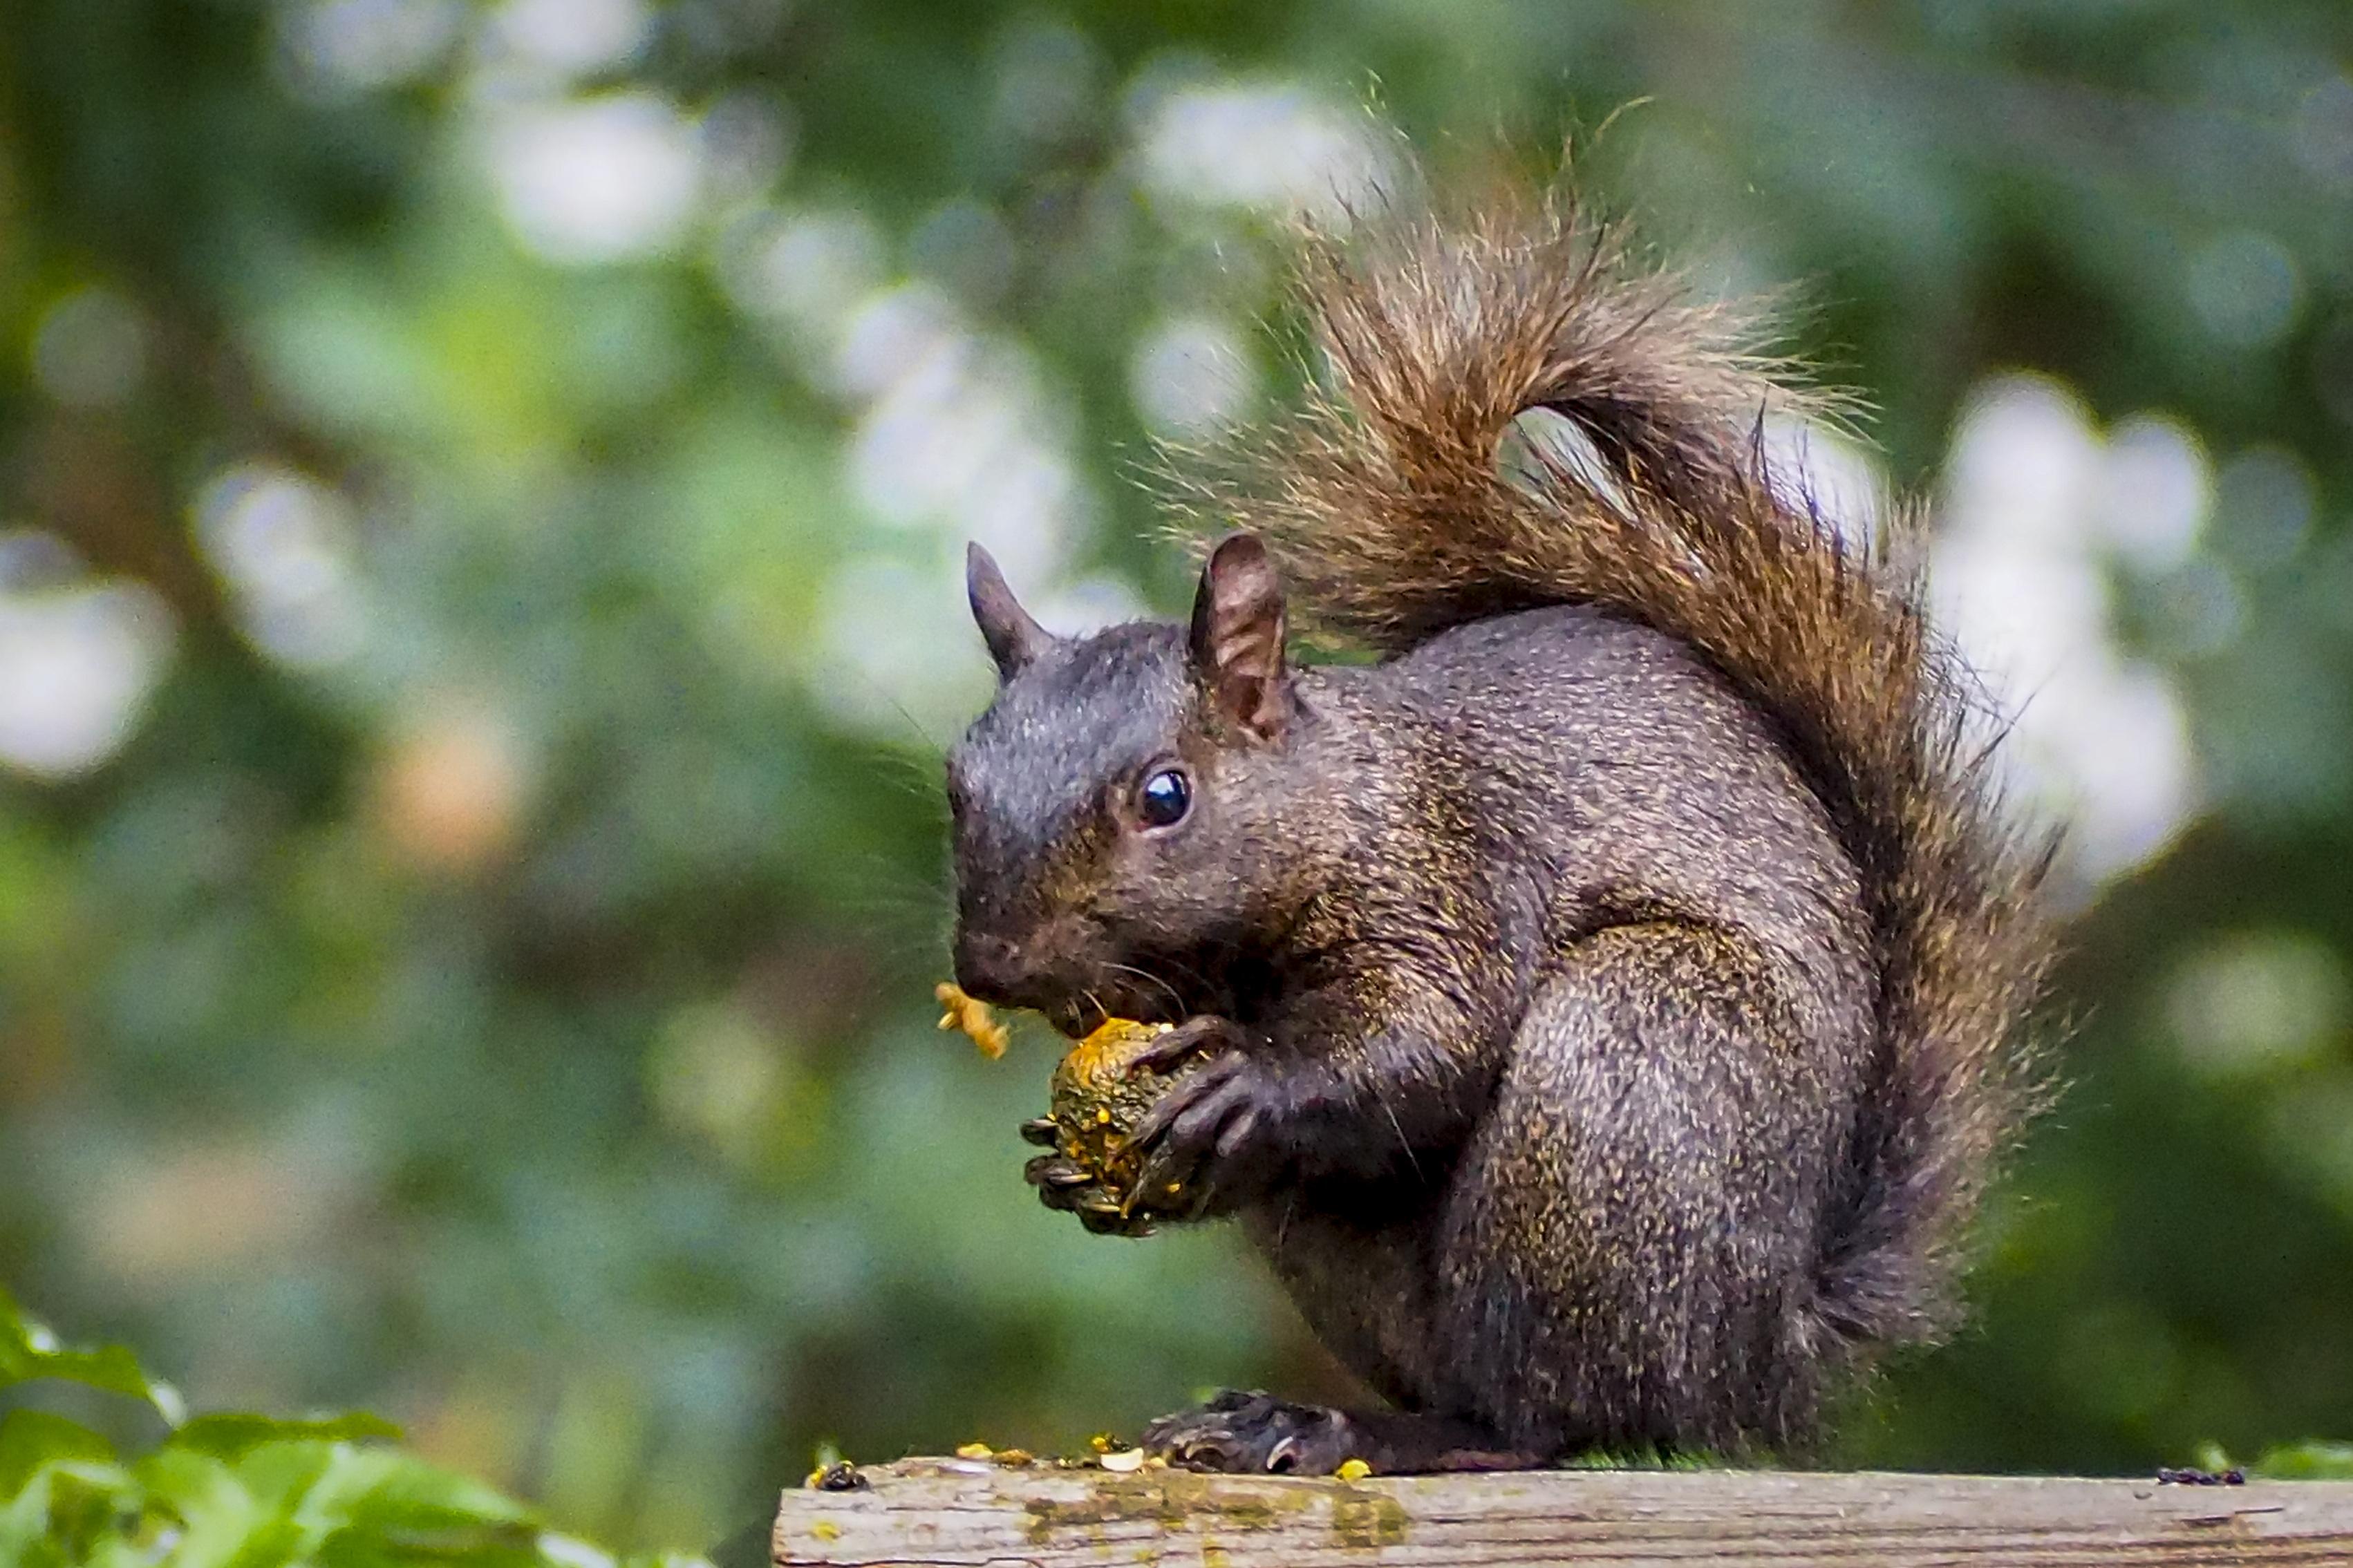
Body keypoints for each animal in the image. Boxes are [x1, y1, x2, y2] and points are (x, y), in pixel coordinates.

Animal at [944, 186, 2053, 1473]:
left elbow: (1432, 1033)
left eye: (1165, 795)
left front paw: (1249, 1081)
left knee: (1548, 1417)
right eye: (958, 780)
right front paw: (1068, 1161)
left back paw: (1373, 1428)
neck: (1342, 800)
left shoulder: (1452, 868)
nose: (994, 965)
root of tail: (1756, 1352)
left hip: (1621, 1066)